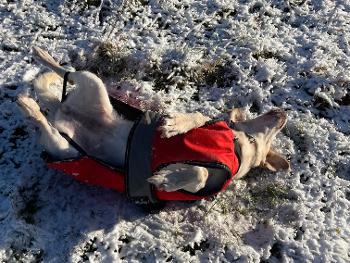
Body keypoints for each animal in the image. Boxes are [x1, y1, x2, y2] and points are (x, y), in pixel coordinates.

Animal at [17, 47, 290, 203]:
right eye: (274, 129)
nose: (283, 112)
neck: (236, 145)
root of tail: (60, 109)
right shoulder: (207, 122)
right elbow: (196, 117)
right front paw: (174, 125)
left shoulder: (198, 190)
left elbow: (199, 174)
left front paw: (167, 178)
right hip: (94, 83)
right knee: (67, 72)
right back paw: (42, 55)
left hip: (65, 148)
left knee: (46, 123)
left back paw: (28, 104)